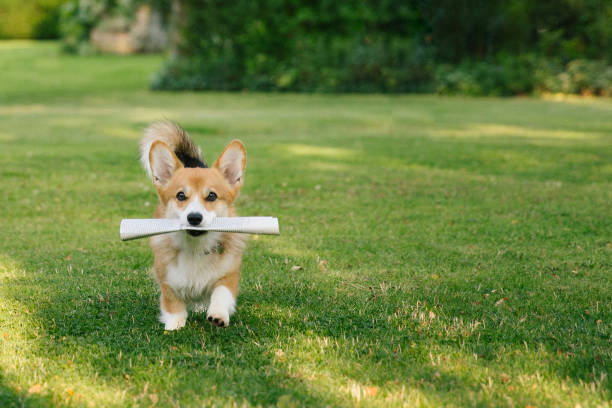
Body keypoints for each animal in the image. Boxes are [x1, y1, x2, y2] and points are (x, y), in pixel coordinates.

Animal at [140, 122, 249, 332]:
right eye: (181, 196)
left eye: (212, 196)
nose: (194, 218)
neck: (195, 247)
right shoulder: (167, 280)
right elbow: (173, 306)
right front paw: (174, 327)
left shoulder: (229, 275)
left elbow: (221, 293)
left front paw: (218, 315)